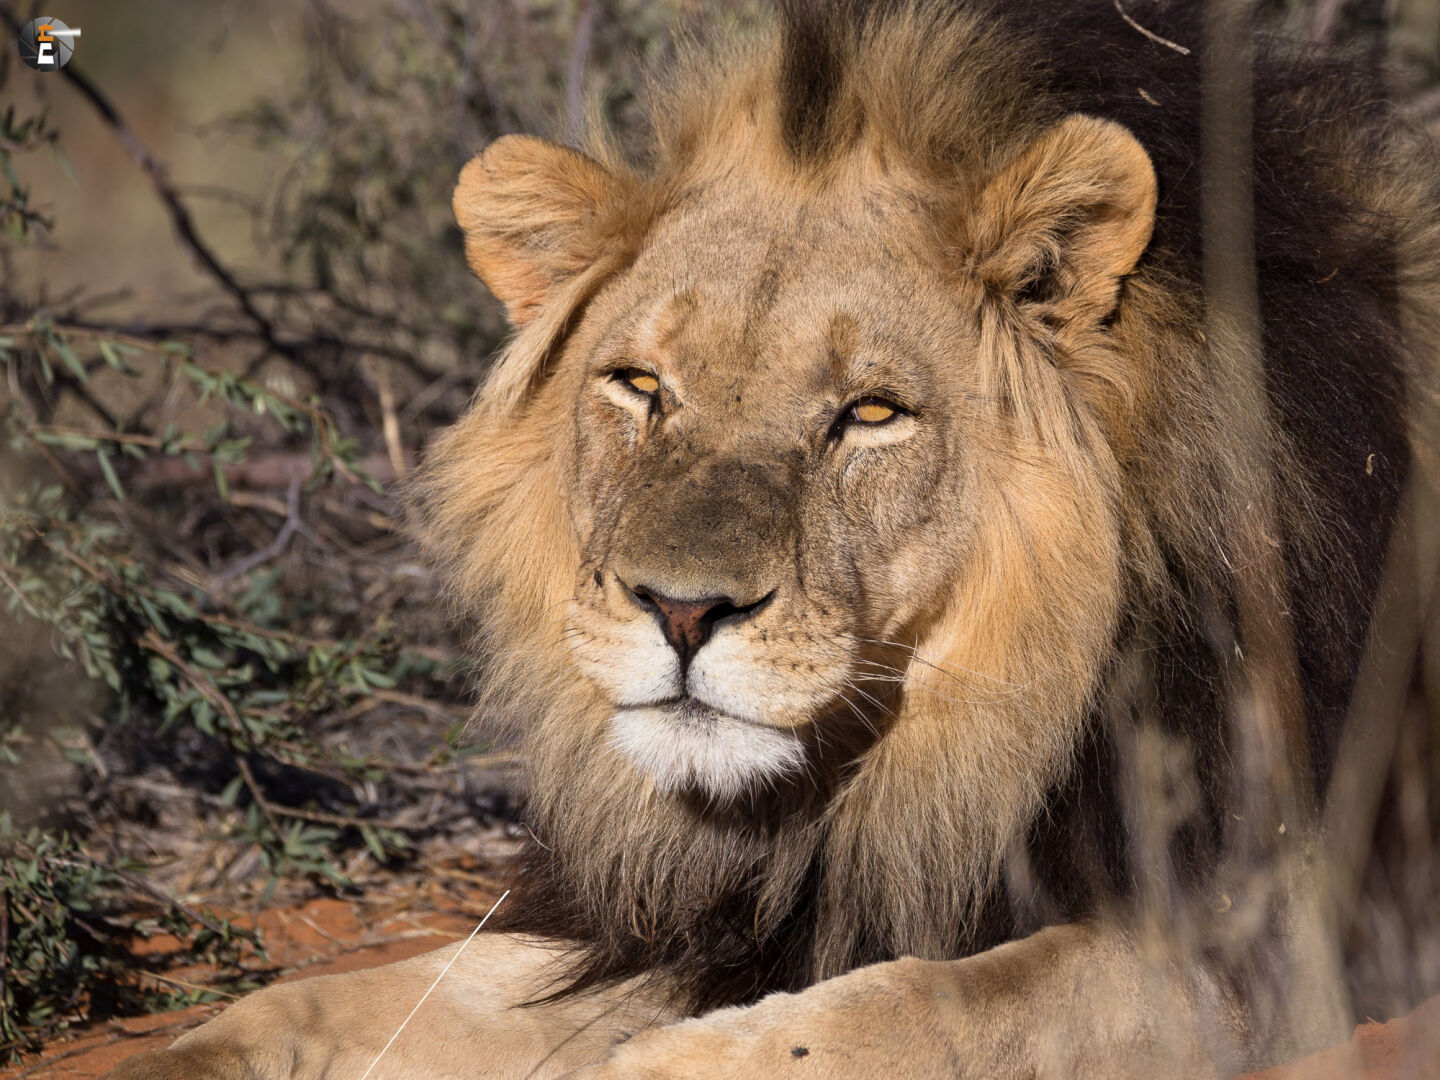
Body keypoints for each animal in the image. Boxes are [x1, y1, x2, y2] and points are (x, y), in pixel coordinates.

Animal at [113, 1, 1440, 1077]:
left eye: (871, 414)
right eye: (643, 386)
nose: (681, 611)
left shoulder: (1275, 941)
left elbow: (924, 1007)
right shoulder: (693, 915)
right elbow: (343, 1000)